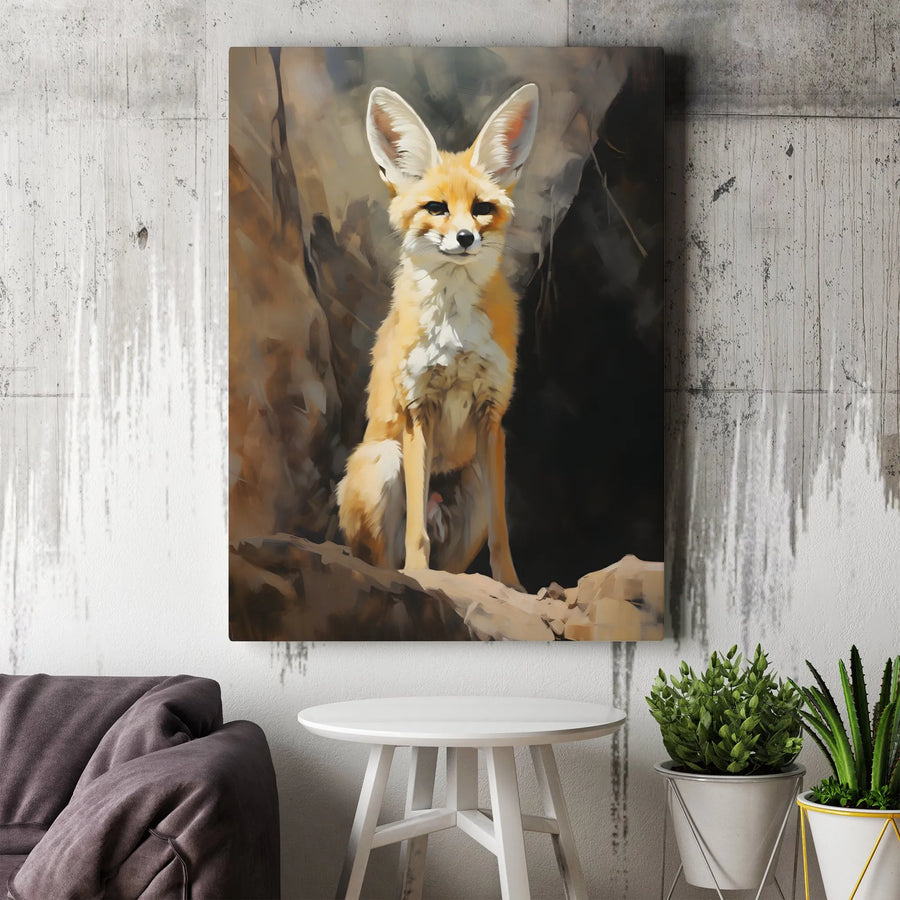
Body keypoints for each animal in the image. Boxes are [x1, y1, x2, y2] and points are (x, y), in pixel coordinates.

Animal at [336, 82, 539, 589]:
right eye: (436, 208)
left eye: (482, 209)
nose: (465, 238)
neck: (455, 330)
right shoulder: (417, 408)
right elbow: (415, 533)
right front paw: (417, 577)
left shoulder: (492, 414)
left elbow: (503, 535)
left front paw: (513, 587)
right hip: (384, 459)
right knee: (382, 560)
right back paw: (402, 577)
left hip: (475, 482)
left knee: (460, 557)